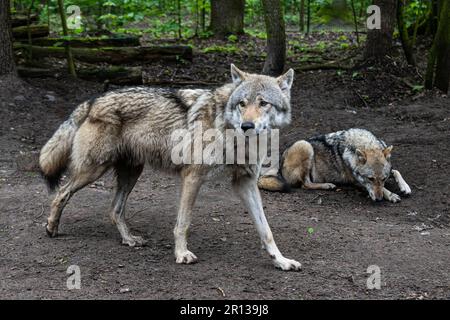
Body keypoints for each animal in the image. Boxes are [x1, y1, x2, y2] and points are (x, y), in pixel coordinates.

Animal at [37, 64, 298, 270]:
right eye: (242, 103)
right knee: (61, 193)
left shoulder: (245, 182)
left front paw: (281, 261)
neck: (231, 134)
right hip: (93, 170)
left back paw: (129, 239)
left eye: (263, 103)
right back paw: (51, 228)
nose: (247, 125)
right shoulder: (192, 177)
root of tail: (92, 101)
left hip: (132, 173)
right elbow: (183, 223)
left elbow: (266, 230)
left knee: (114, 210)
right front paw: (181, 254)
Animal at [256, 128, 412, 201]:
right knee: (305, 184)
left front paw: (405, 187)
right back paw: (327, 185)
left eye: (383, 179)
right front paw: (390, 195)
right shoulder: (356, 181)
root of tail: (279, 164)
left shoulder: (388, 170)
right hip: (305, 145)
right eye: (370, 179)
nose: (379, 199)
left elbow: (395, 171)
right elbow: (379, 188)